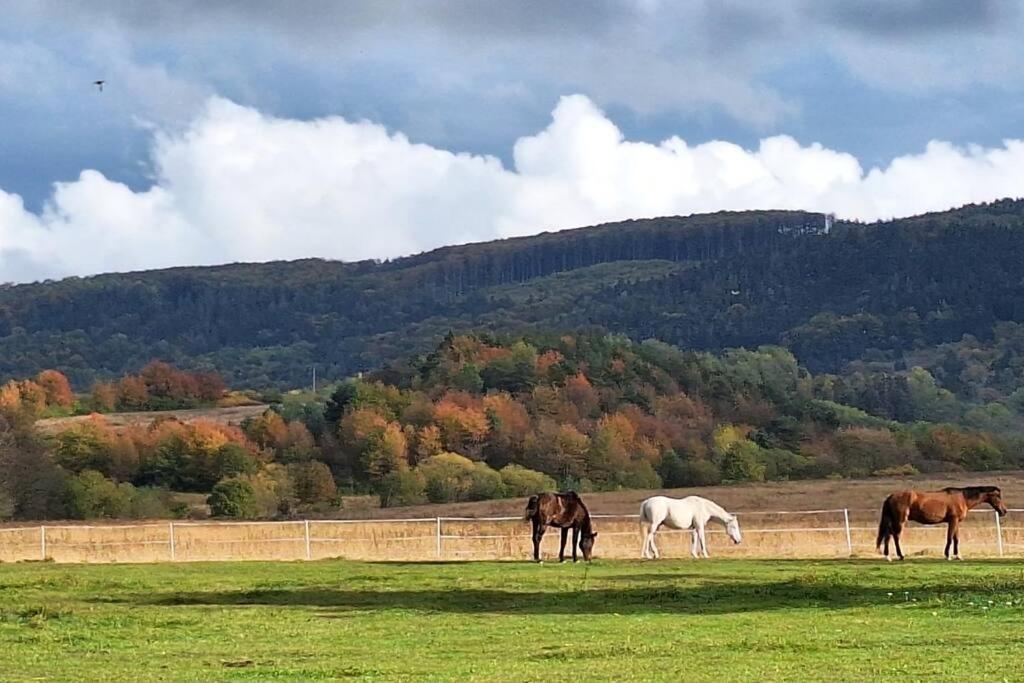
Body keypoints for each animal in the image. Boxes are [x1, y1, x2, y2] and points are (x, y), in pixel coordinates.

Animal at [876, 485, 1011, 561]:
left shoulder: (956, 522)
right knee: (896, 536)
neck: (963, 498)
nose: (1004, 511)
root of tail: (890, 497)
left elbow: (956, 539)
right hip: (900, 521)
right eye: (998, 496)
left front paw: (958, 556)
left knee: (888, 536)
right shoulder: (953, 520)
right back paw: (900, 556)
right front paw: (948, 555)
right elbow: (950, 538)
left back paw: (888, 556)